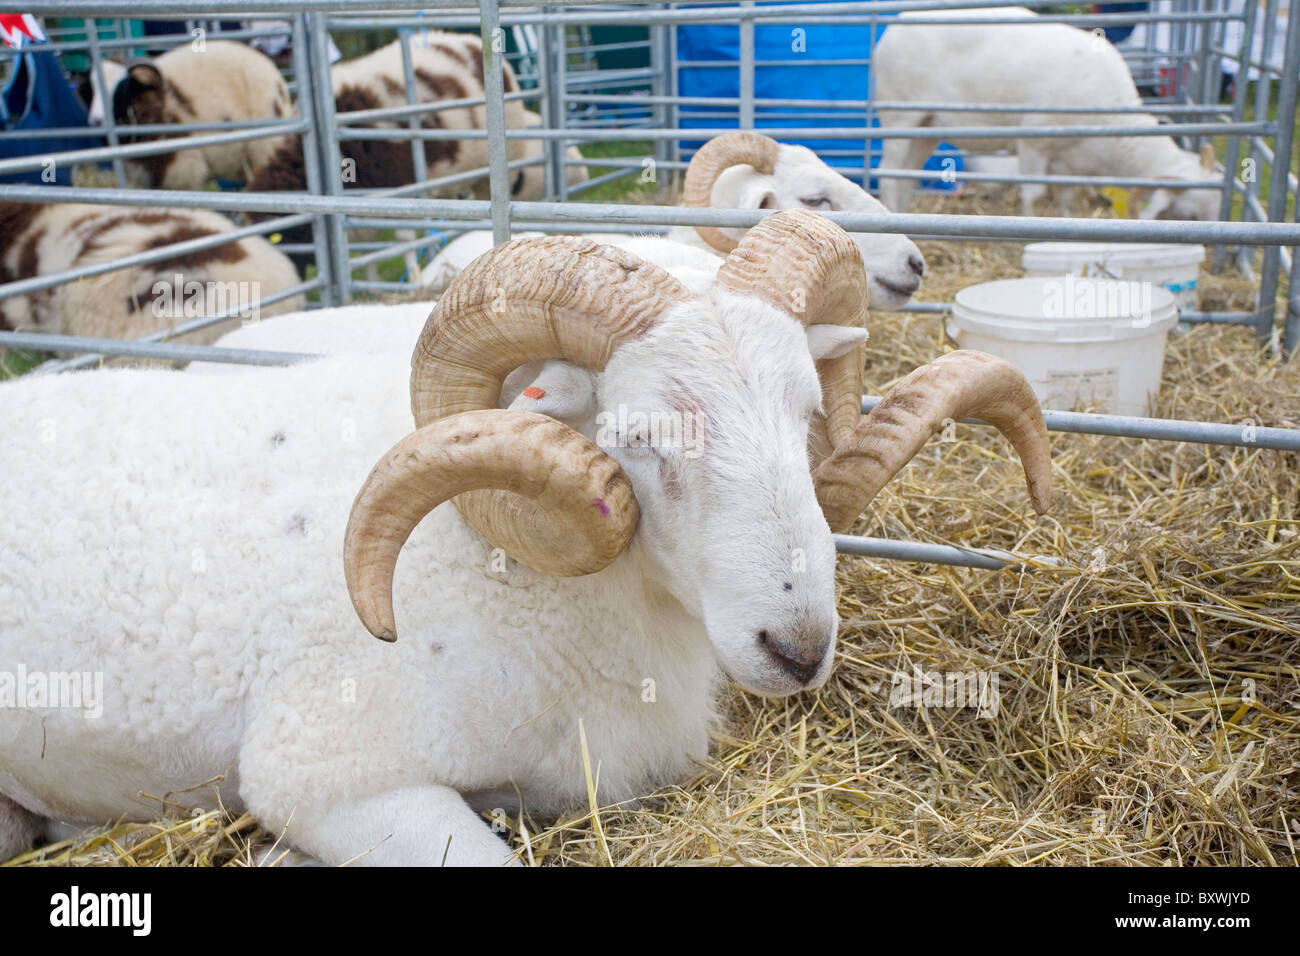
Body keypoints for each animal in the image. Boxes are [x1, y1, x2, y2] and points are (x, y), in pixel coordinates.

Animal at [873, 6, 1221, 220]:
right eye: (1190, 214)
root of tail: (893, 28)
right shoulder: (1033, 143)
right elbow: (1035, 194)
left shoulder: (1070, 159)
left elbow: (1066, 197)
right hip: (899, 117)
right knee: (888, 174)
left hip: (927, 127)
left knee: (905, 175)